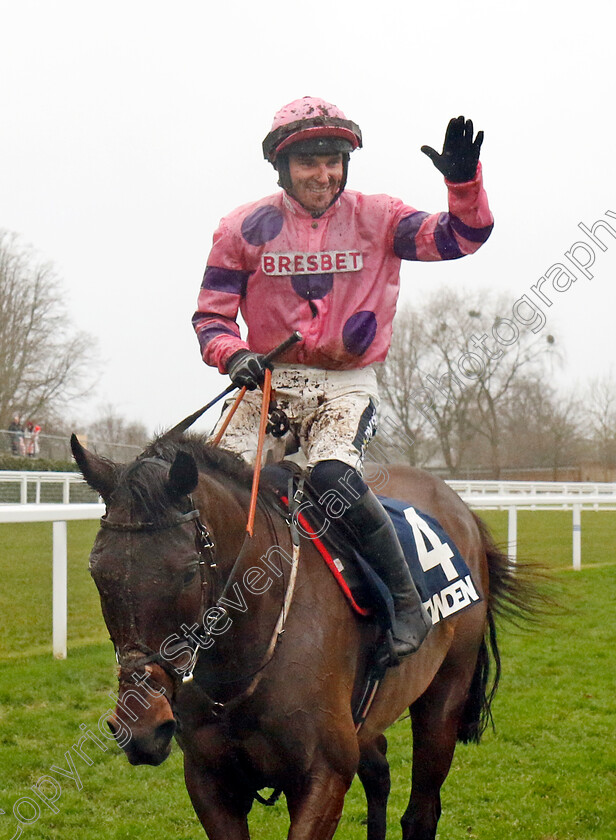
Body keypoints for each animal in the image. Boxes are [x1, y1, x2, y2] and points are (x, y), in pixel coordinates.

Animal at [70, 434, 536, 840]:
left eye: (186, 572)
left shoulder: (323, 776)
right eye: (98, 572)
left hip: (443, 699)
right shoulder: (209, 781)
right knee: (379, 774)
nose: (140, 729)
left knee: (421, 813)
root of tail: (462, 509)